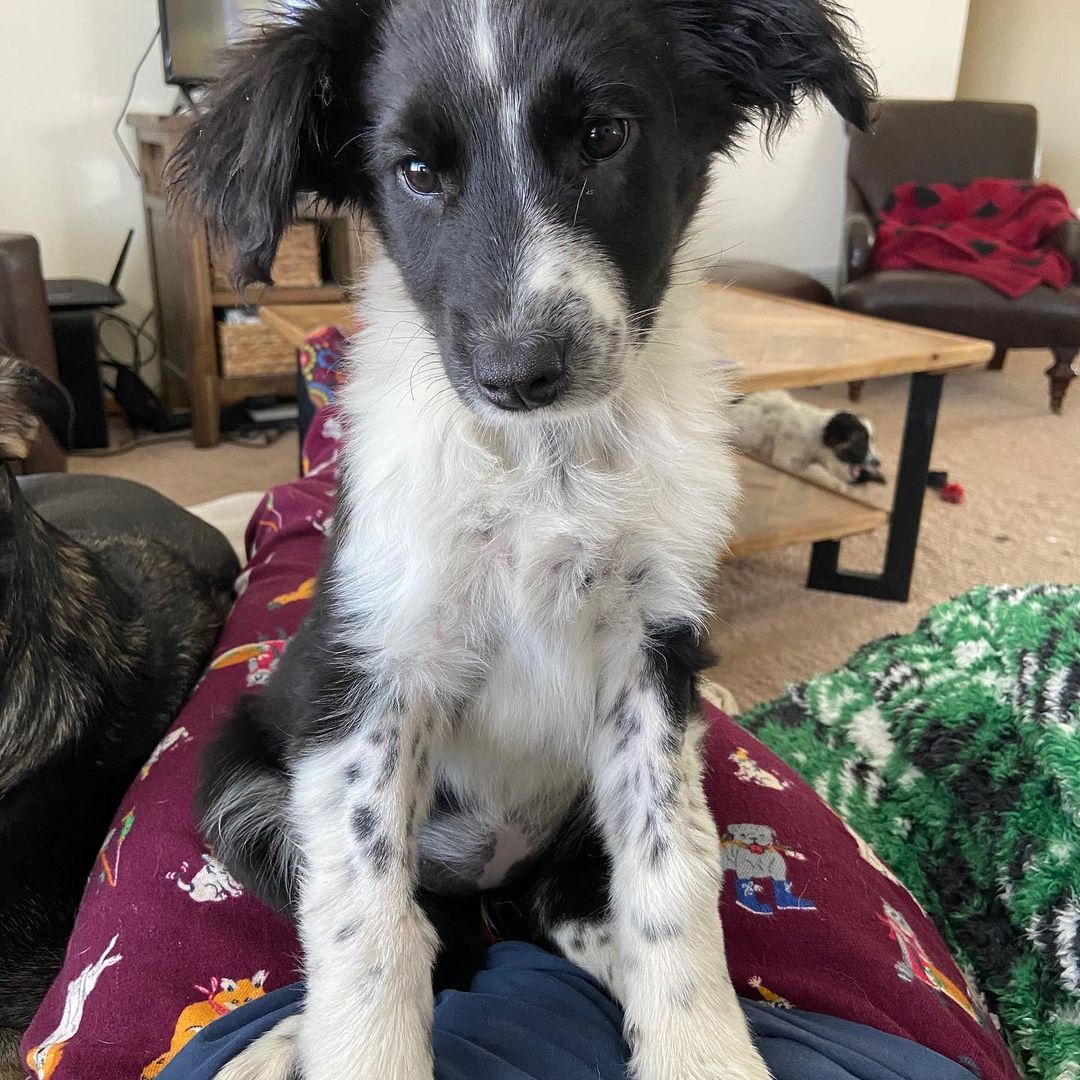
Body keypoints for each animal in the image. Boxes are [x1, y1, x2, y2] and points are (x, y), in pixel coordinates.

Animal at [172, 4, 872, 1075]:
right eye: (416, 171)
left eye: (604, 137)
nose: (519, 371)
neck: (546, 461)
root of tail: (490, 877)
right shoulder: (375, 674)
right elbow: (366, 923)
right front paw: (353, 1048)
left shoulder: (655, 656)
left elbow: (673, 873)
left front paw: (702, 1047)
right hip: (236, 779)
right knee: (424, 929)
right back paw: (284, 1041)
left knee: (565, 909)